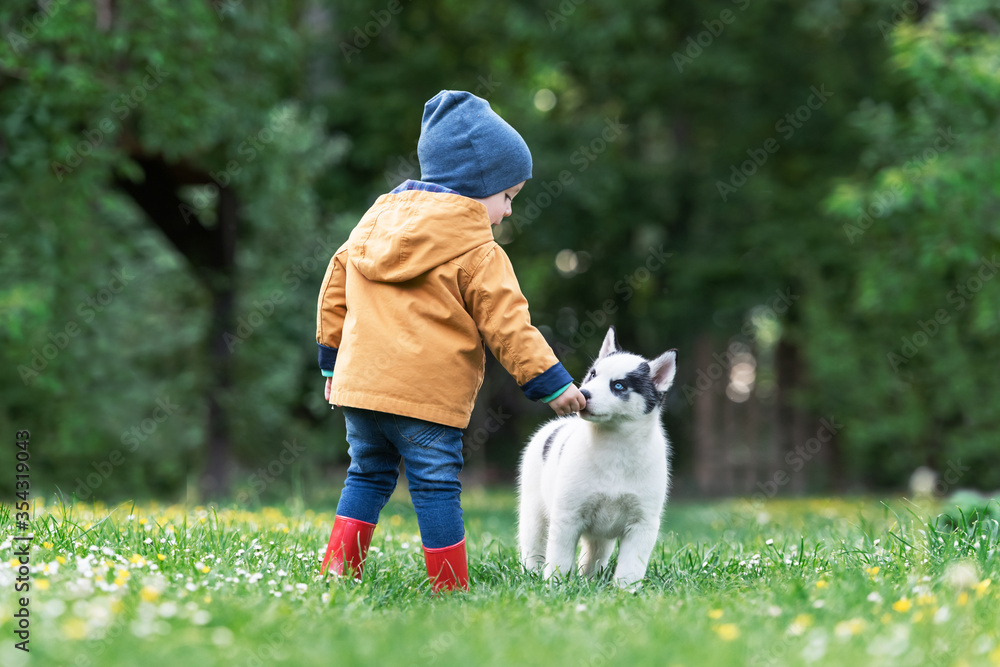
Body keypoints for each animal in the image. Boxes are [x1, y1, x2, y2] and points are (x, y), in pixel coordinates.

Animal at [520, 328, 676, 588]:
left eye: (619, 386)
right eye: (593, 374)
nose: (582, 394)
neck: (614, 446)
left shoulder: (642, 523)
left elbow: (631, 567)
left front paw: (625, 590)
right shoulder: (567, 516)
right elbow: (559, 559)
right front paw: (555, 586)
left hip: (600, 537)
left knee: (594, 555)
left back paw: (590, 580)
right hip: (534, 513)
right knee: (533, 547)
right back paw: (532, 574)